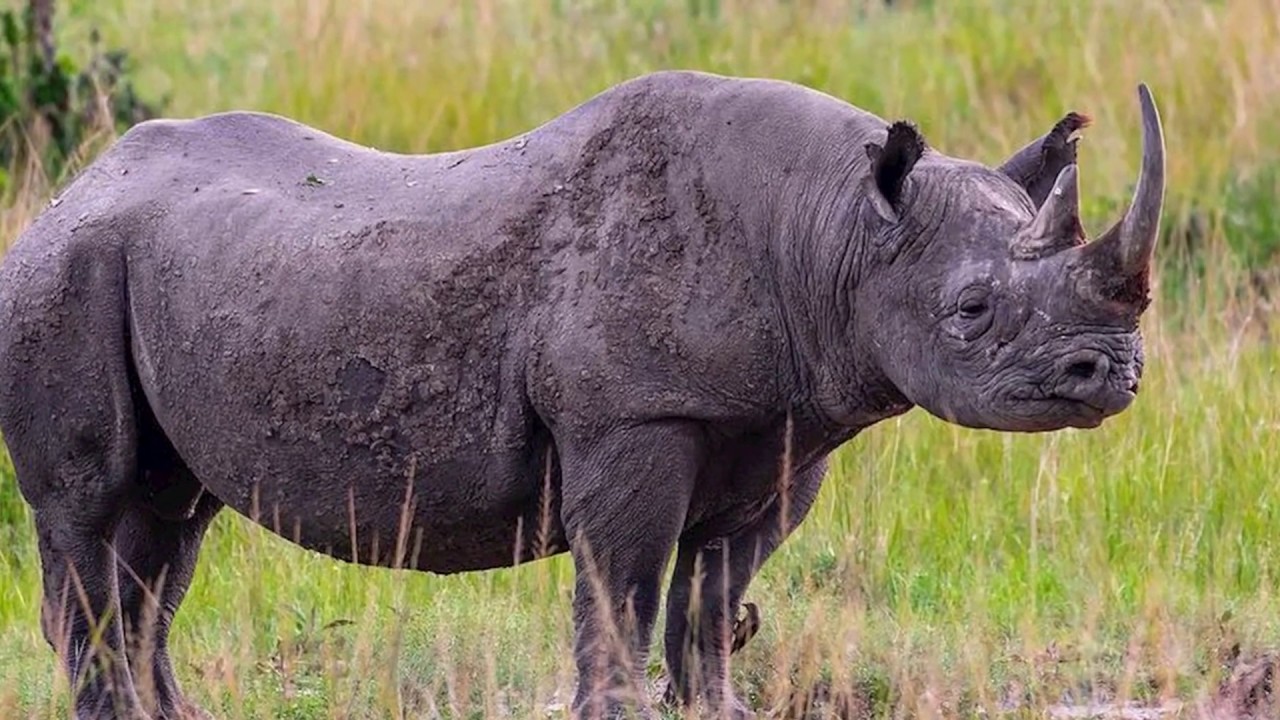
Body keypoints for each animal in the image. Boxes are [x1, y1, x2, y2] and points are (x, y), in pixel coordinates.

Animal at [0, 68, 1162, 717]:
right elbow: (622, 598)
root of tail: (74, 185)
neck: (831, 230)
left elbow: (709, 614)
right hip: (61, 273)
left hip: (156, 270)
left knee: (164, 536)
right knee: (91, 518)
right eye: (970, 309)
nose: (1106, 372)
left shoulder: (780, 434)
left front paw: (716, 710)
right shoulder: (631, 415)